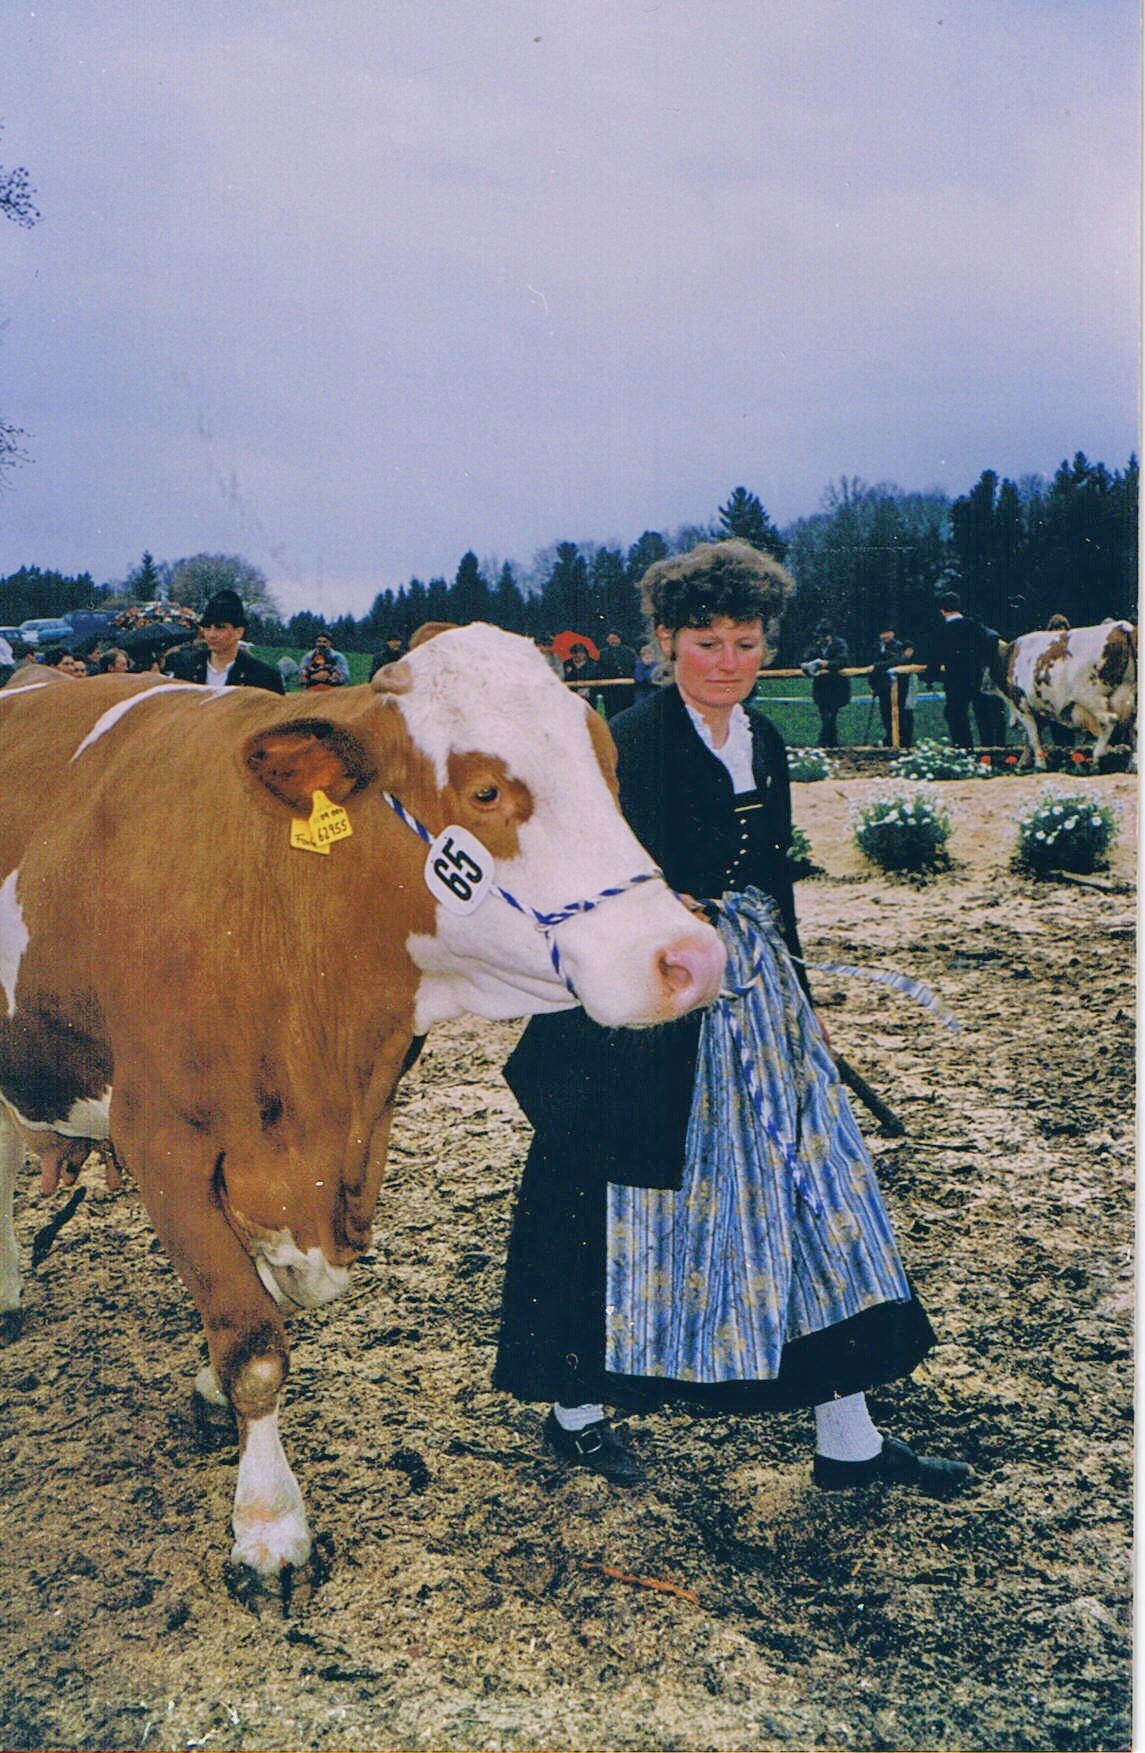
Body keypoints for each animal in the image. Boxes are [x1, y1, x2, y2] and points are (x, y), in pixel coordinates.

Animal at [0, 623, 725, 1592]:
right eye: (484, 788)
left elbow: (262, 1300)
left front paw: (207, 1390)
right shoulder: (163, 1142)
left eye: (607, 768)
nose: (689, 954)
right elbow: (253, 1342)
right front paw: (270, 1527)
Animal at [983, 620, 1137, 770]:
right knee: (1133, 727)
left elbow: (1033, 737)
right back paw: (1132, 765)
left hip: (1090, 698)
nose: (983, 686)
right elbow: (1031, 737)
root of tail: (1121, 627)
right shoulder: (1038, 708)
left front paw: (1040, 765)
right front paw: (1023, 762)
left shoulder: (1021, 704)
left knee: (1109, 720)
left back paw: (1097, 757)